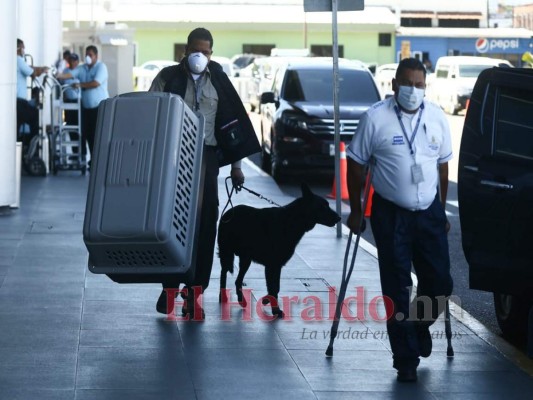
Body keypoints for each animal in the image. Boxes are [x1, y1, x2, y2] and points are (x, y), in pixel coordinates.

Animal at [217, 183, 338, 318]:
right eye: (323, 206)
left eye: (328, 205)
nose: (339, 218)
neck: (293, 219)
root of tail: (228, 212)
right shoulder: (272, 265)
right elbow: (274, 288)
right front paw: (275, 309)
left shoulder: (277, 266)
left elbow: (276, 287)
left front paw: (266, 299)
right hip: (227, 254)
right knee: (223, 274)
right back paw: (223, 296)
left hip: (245, 260)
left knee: (238, 280)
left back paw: (241, 300)